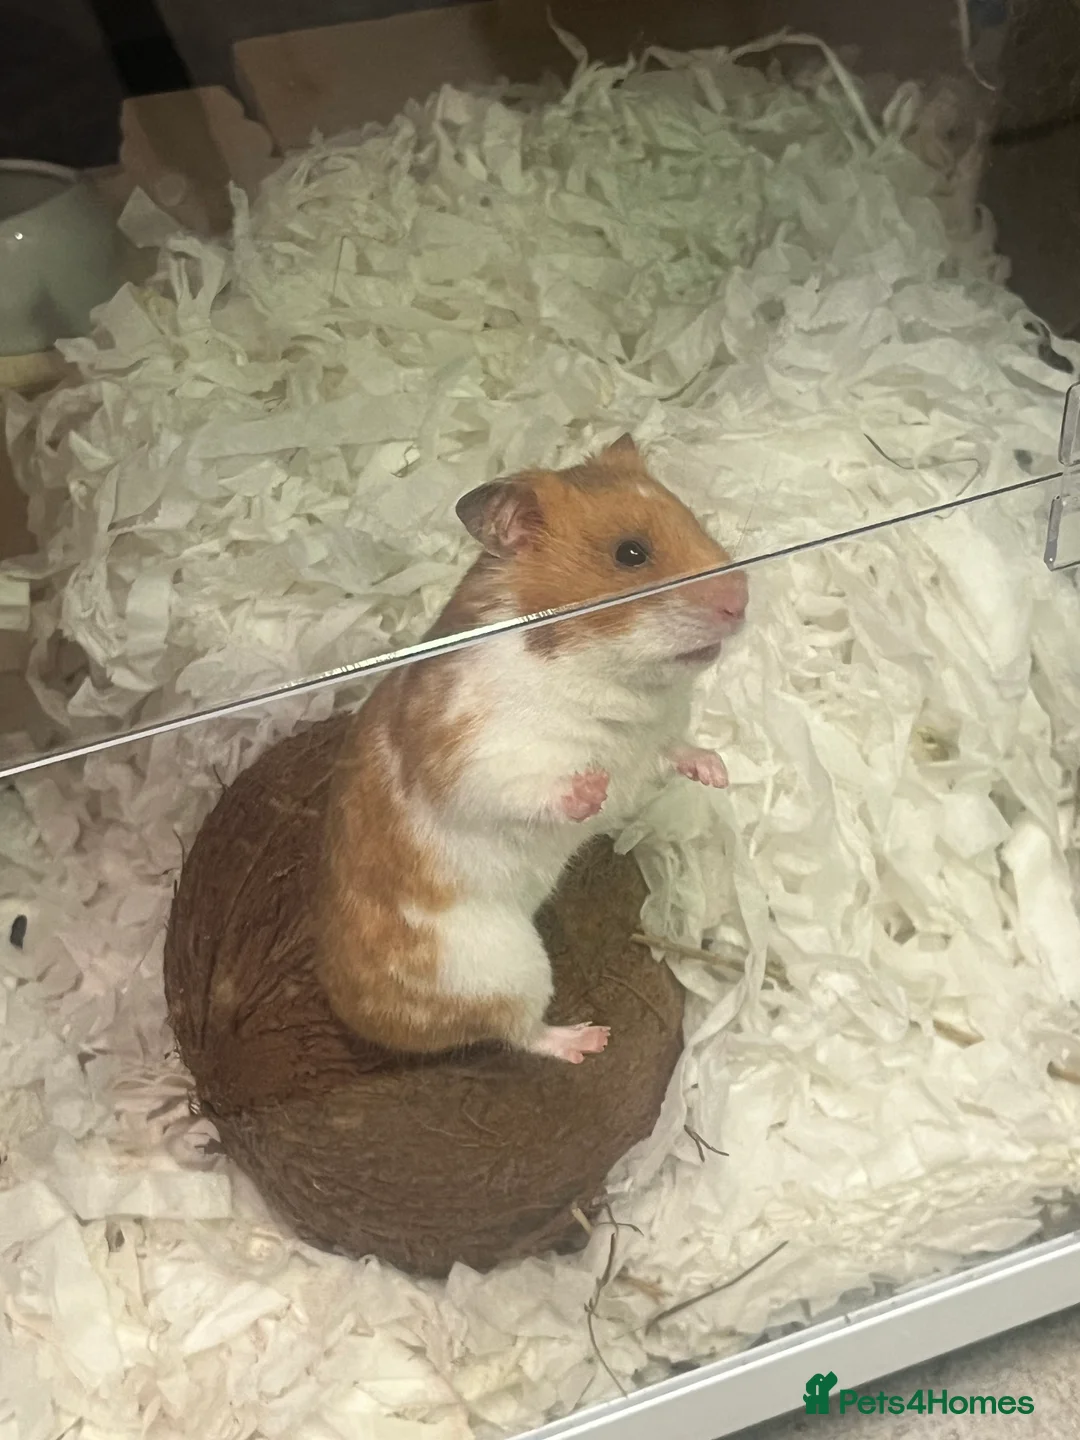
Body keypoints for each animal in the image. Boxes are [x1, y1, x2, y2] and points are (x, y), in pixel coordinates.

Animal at [315, 434, 748, 1064]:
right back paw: (588, 1040)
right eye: (631, 554)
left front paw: (718, 772)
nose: (743, 598)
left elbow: (675, 750)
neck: (607, 673)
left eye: (692, 517)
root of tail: (356, 1020)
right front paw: (591, 787)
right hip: (503, 966)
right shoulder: (476, 758)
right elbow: (532, 789)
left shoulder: (655, 740)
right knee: (518, 1031)